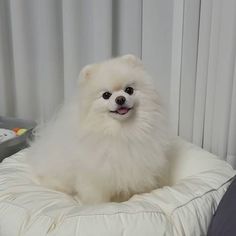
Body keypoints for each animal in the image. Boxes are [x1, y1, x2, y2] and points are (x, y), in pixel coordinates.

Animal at [26, 54, 171, 203]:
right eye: (106, 95)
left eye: (129, 90)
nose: (120, 99)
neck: (121, 132)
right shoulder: (95, 176)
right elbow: (97, 198)